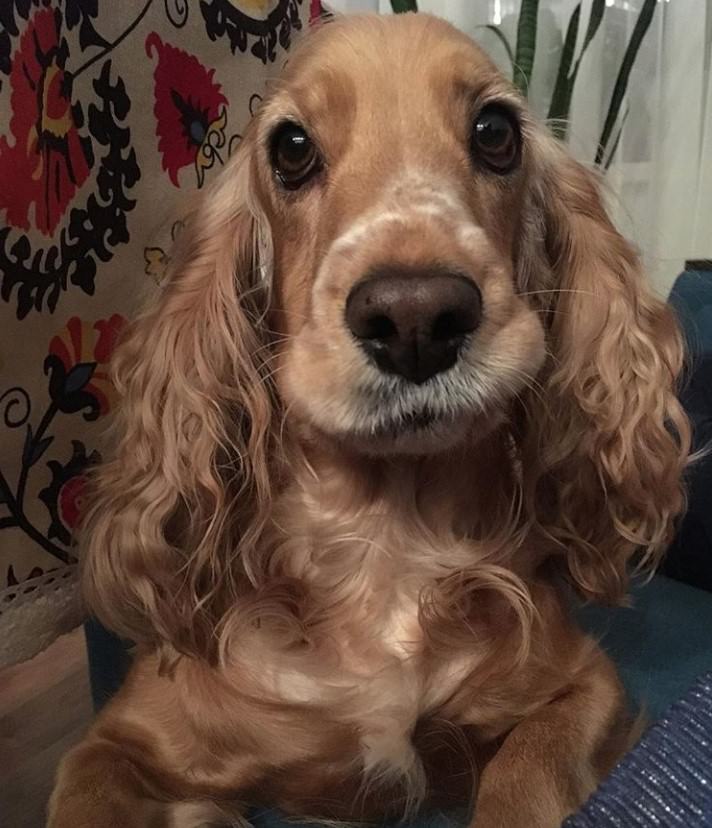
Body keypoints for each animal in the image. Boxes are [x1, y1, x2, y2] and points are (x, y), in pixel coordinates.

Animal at [46, 12, 688, 828]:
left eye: (496, 132)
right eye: (291, 147)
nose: (416, 318)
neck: (387, 537)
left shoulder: (582, 683)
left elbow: (524, 775)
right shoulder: (117, 740)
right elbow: (92, 793)